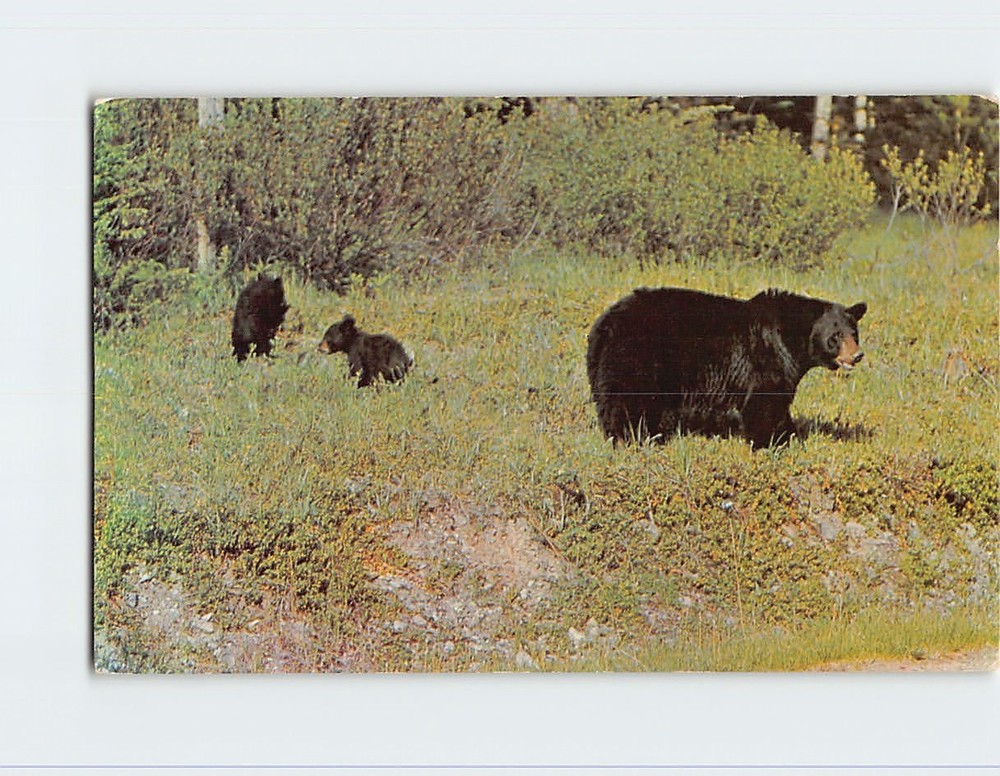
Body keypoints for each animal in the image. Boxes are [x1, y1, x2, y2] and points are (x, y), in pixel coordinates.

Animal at [586, 287, 867, 448]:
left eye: (854, 332)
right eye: (835, 336)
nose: (857, 356)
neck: (791, 340)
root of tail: (605, 323)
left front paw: (789, 436)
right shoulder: (765, 358)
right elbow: (765, 403)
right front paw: (768, 443)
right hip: (638, 357)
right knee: (630, 401)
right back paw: (635, 438)